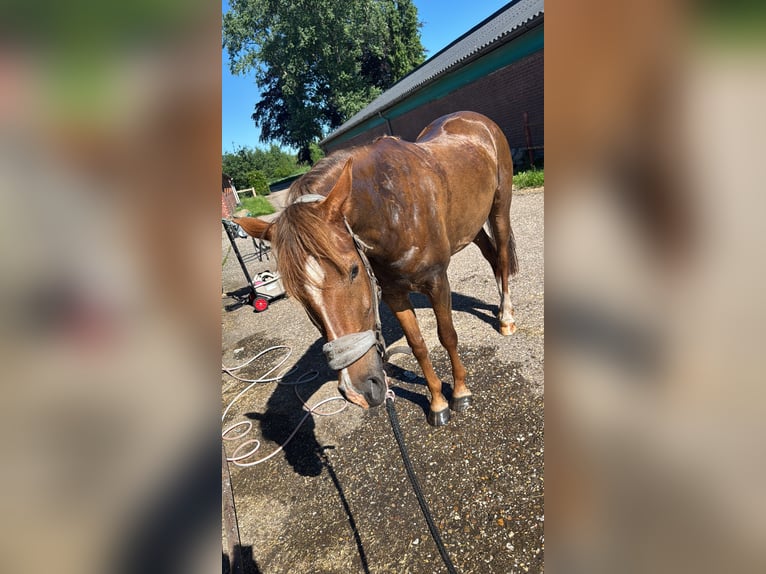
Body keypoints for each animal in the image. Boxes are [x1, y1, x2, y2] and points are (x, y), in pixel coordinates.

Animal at [235, 111, 518, 426]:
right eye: (298, 295)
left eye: (353, 270)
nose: (358, 391)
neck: (393, 207)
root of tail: (475, 119)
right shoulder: (395, 293)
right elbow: (418, 345)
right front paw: (437, 403)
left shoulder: (436, 281)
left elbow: (447, 336)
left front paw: (460, 393)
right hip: (470, 224)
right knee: (492, 257)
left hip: (499, 208)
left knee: (502, 256)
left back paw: (506, 318)